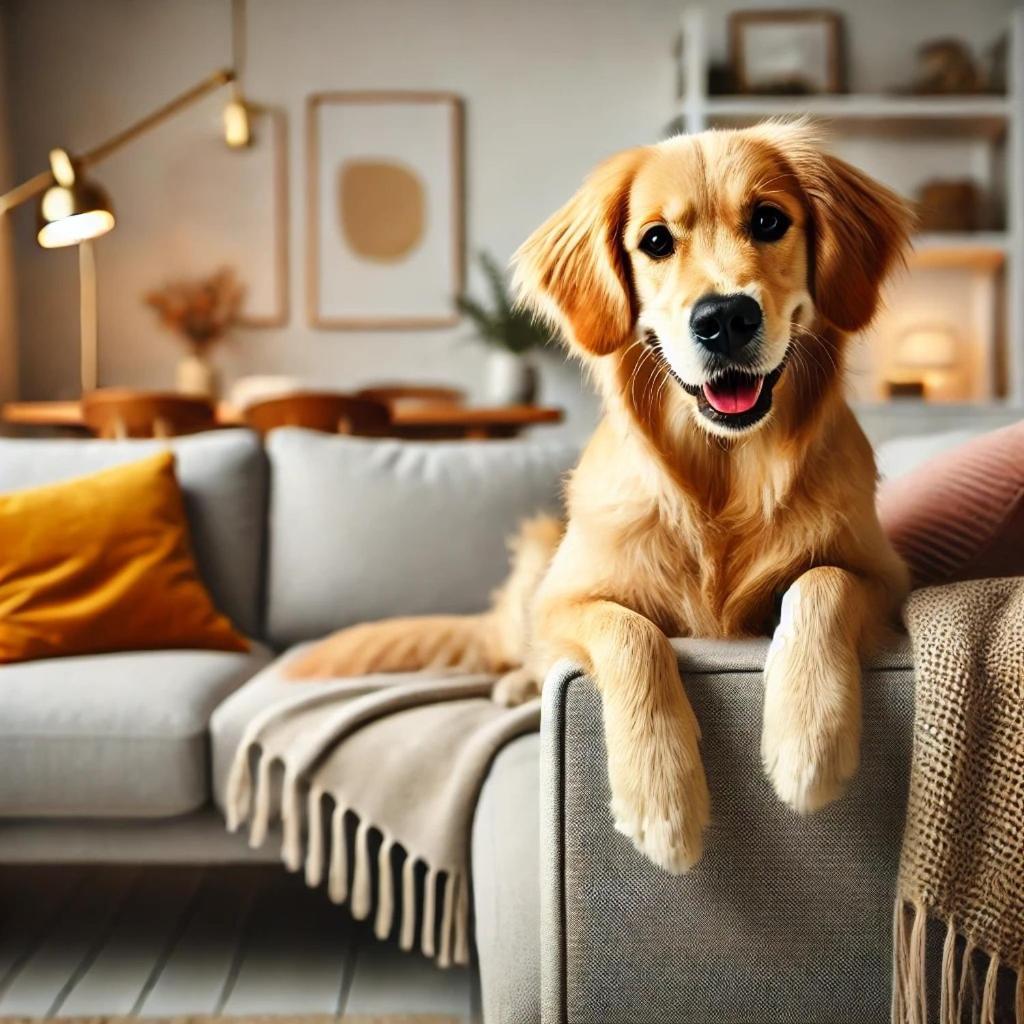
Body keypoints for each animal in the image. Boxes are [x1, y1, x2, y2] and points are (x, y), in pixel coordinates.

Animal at [288, 119, 913, 872]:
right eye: (656, 240)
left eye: (769, 220)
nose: (724, 318)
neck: (721, 475)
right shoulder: (566, 598)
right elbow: (630, 630)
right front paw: (662, 798)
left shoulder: (887, 579)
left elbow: (822, 582)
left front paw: (808, 741)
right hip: (537, 550)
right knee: (523, 651)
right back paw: (518, 686)